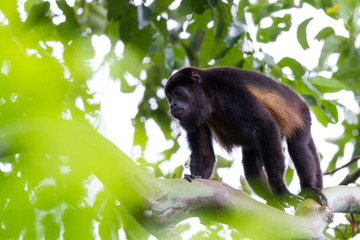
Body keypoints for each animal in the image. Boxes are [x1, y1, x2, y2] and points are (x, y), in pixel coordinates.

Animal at [165, 66, 328, 207]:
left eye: (178, 92)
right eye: (169, 98)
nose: (172, 105)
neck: (208, 92)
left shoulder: (230, 91)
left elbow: (266, 125)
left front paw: (280, 189)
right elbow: (204, 152)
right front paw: (197, 177)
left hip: (302, 116)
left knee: (298, 146)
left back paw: (308, 190)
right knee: (251, 166)